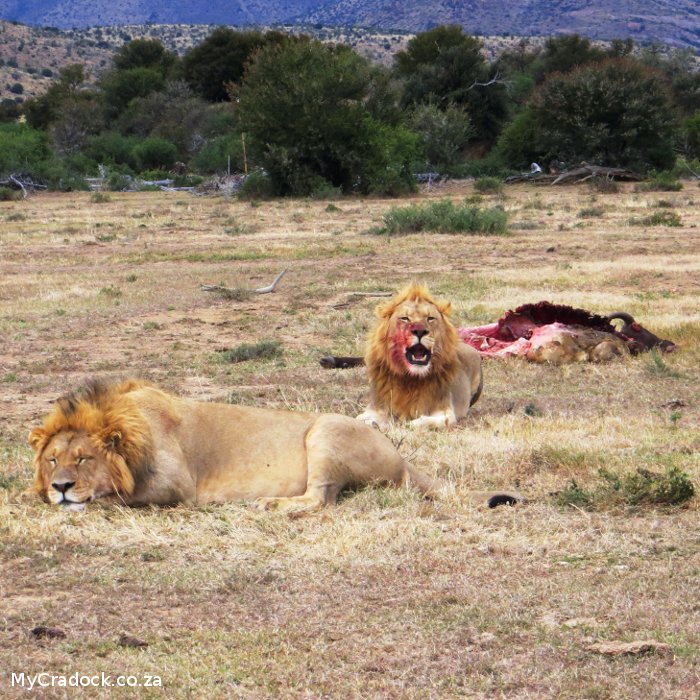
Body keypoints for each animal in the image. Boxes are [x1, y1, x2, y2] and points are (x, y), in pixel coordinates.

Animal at [29, 379, 519, 512]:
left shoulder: (176, 487)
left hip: (325, 432)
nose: (60, 486)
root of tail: (402, 456)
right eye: (52, 460)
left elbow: (117, 497)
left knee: (319, 500)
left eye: (84, 458)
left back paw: (269, 504)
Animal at [357, 283, 482, 430]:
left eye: (430, 318)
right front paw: (374, 423)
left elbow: (428, 422)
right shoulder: (376, 406)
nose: (420, 331)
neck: (411, 379)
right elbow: (361, 419)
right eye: (405, 318)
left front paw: (406, 423)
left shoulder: (445, 411)